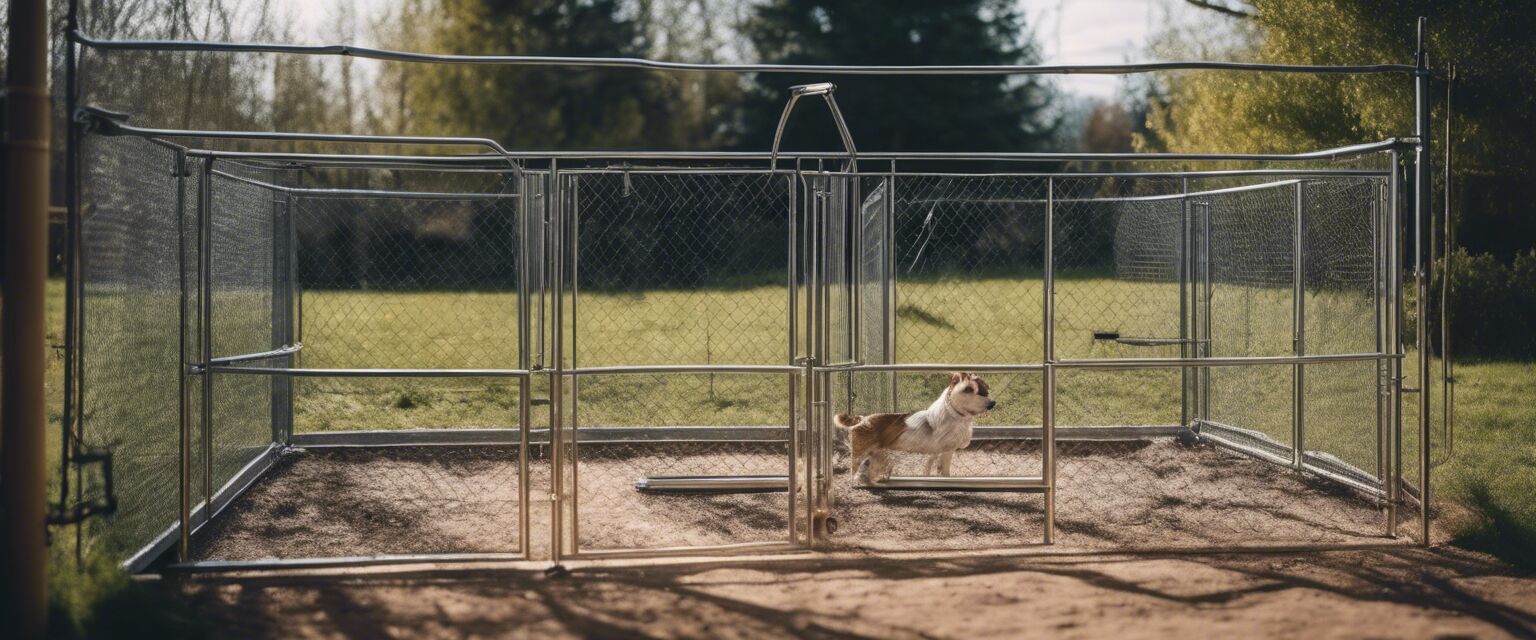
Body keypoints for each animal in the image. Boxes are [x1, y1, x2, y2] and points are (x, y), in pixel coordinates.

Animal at [841, 371, 995, 481]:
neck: (954, 415)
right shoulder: (946, 451)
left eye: (984, 390)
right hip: (860, 452)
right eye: (969, 390)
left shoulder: (936, 453)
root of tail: (861, 419)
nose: (992, 403)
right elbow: (944, 471)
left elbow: (929, 467)